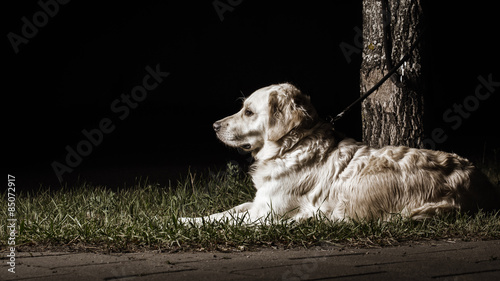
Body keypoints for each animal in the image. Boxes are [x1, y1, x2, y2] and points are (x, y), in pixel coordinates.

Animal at [182, 82, 498, 223]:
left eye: (248, 112)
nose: (214, 126)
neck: (292, 146)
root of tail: (481, 181)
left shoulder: (266, 214)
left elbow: (223, 220)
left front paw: (189, 222)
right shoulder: (259, 202)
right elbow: (227, 211)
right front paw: (184, 219)